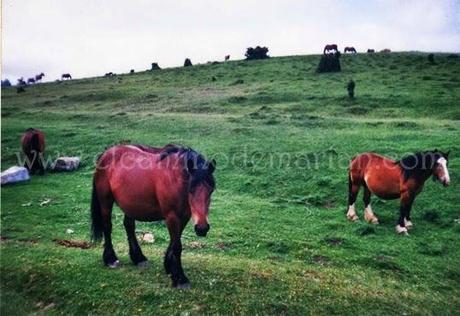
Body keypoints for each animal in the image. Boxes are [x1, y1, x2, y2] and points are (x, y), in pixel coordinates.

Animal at [92, 144, 218, 288]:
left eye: (211, 190)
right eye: (191, 189)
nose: (202, 228)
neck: (174, 177)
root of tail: (106, 153)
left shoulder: (184, 216)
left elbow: (174, 241)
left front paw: (169, 266)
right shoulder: (172, 216)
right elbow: (177, 246)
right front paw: (180, 278)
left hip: (130, 204)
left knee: (129, 226)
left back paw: (138, 258)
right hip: (105, 201)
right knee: (107, 227)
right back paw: (110, 259)